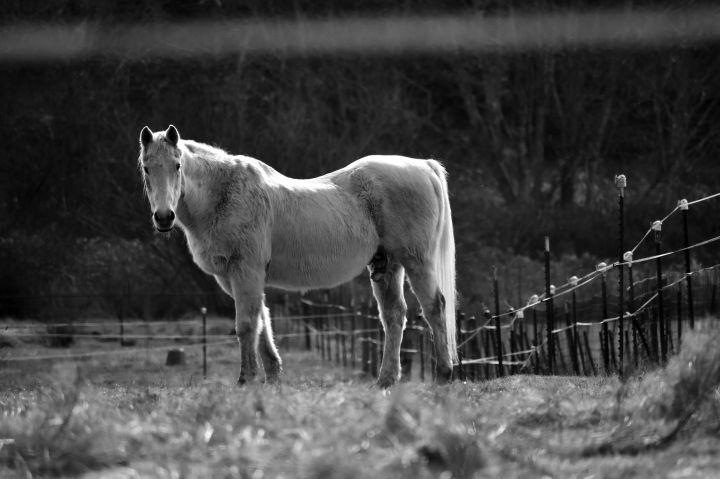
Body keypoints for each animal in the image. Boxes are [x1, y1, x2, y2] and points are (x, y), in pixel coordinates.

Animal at [138, 125, 456, 388]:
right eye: (146, 168)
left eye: (177, 165)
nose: (164, 217)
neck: (225, 194)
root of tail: (423, 166)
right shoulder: (233, 277)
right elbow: (262, 322)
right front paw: (272, 376)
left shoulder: (246, 271)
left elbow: (247, 325)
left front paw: (247, 379)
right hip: (388, 266)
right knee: (394, 315)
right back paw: (386, 380)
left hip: (417, 262)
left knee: (434, 308)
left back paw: (443, 376)